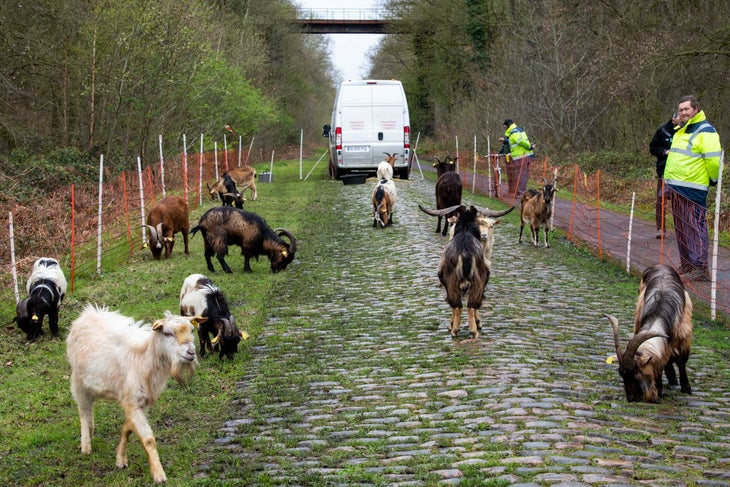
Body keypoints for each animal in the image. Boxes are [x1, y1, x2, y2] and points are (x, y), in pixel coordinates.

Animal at [66, 304, 202, 484]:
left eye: (192, 330)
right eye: (167, 333)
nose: (191, 352)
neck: (144, 358)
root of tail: (87, 313)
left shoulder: (139, 401)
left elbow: (127, 428)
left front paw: (120, 459)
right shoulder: (133, 401)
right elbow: (149, 439)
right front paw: (159, 474)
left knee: (90, 409)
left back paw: (91, 428)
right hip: (78, 381)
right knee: (83, 410)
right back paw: (86, 444)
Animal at [604, 264, 692, 402]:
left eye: (637, 376)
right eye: (622, 375)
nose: (631, 398)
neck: (659, 313)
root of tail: (660, 265)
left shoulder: (684, 336)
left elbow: (682, 362)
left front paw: (686, 388)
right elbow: (662, 361)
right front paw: (660, 388)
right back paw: (672, 378)